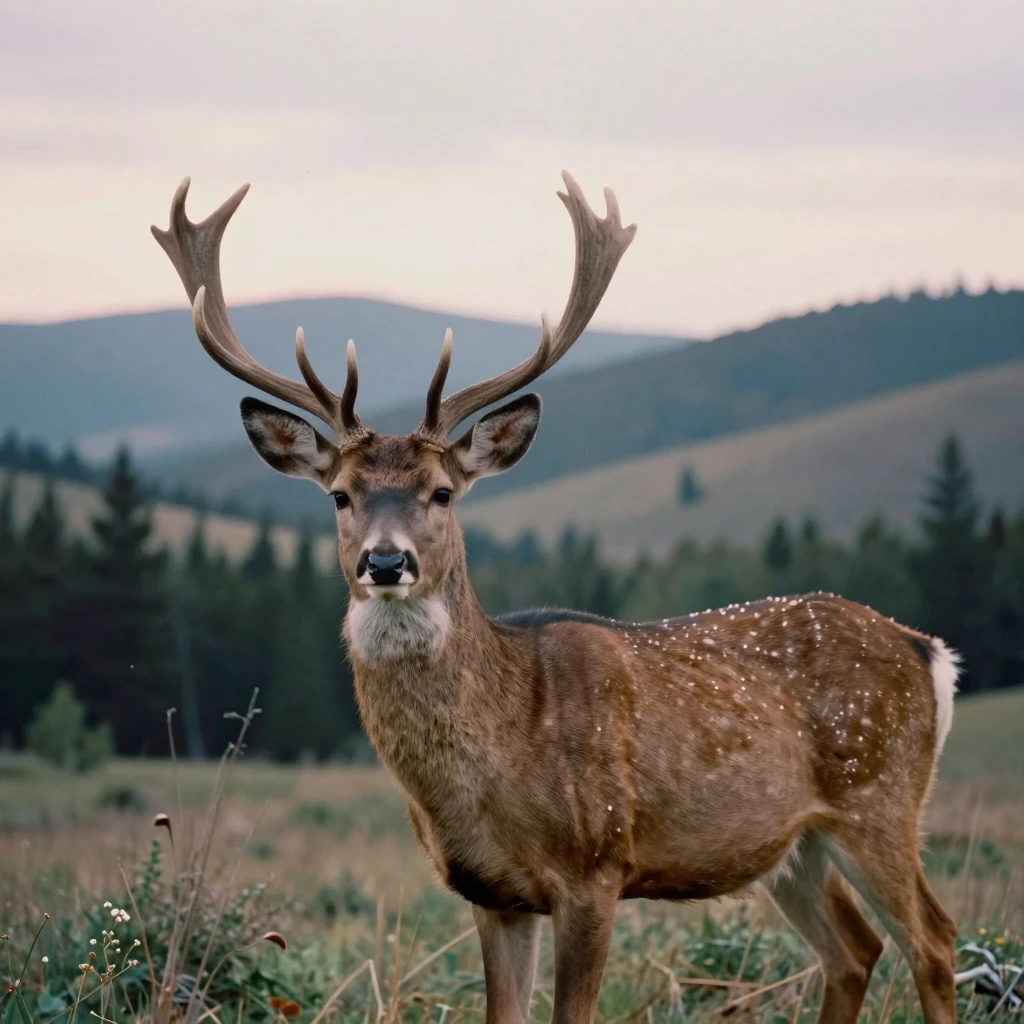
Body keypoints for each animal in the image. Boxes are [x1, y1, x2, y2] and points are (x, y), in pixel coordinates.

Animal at [152, 172, 960, 1024]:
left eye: (442, 491)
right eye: (340, 495)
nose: (386, 560)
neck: (497, 760)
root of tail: (926, 650)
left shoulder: (594, 865)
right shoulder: (494, 894)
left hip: (879, 795)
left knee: (933, 941)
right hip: (795, 841)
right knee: (855, 948)